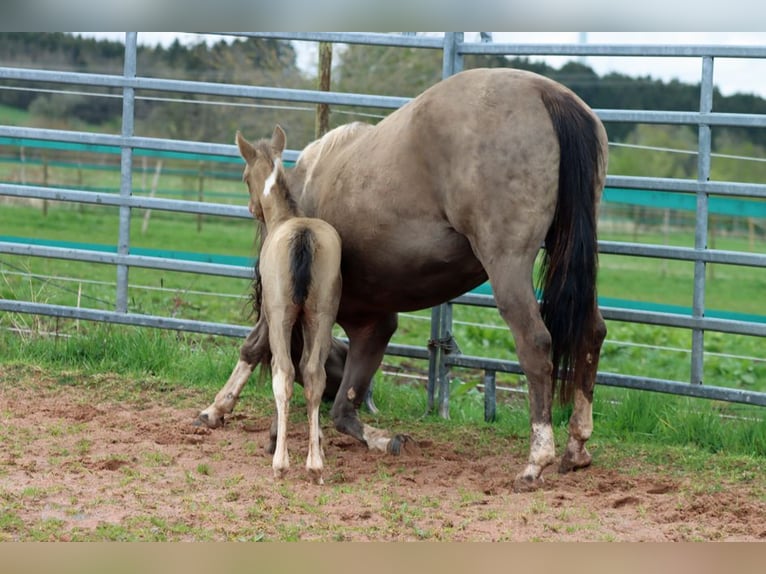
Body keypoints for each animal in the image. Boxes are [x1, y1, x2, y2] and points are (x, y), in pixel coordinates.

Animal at [230, 125, 342, 484]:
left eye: (243, 176)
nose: (252, 208)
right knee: (313, 375)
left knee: (284, 374)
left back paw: (281, 465)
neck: (287, 217)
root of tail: (303, 235)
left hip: (281, 318)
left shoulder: (272, 315)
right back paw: (315, 465)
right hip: (321, 317)